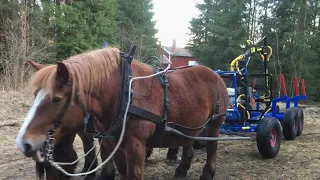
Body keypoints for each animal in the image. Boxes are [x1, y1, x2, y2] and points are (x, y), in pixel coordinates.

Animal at [16, 47, 229, 179]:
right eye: (35, 94)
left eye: (57, 99)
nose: (24, 143)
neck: (123, 93)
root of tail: (216, 74)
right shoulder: (113, 144)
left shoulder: (136, 146)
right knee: (188, 142)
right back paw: (182, 168)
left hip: (215, 123)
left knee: (212, 148)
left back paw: (207, 172)